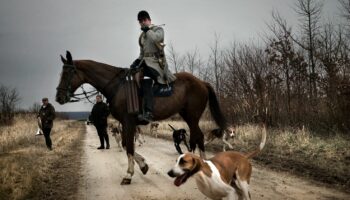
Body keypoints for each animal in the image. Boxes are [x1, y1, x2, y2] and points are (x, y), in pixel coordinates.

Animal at [55, 50, 227, 185]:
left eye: (68, 73)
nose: (58, 97)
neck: (118, 87)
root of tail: (202, 82)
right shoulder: (125, 124)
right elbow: (126, 145)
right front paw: (143, 165)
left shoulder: (128, 122)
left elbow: (129, 147)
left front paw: (129, 175)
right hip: (188, 116)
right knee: (196, 137)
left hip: (192, 116)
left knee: (198, 137)